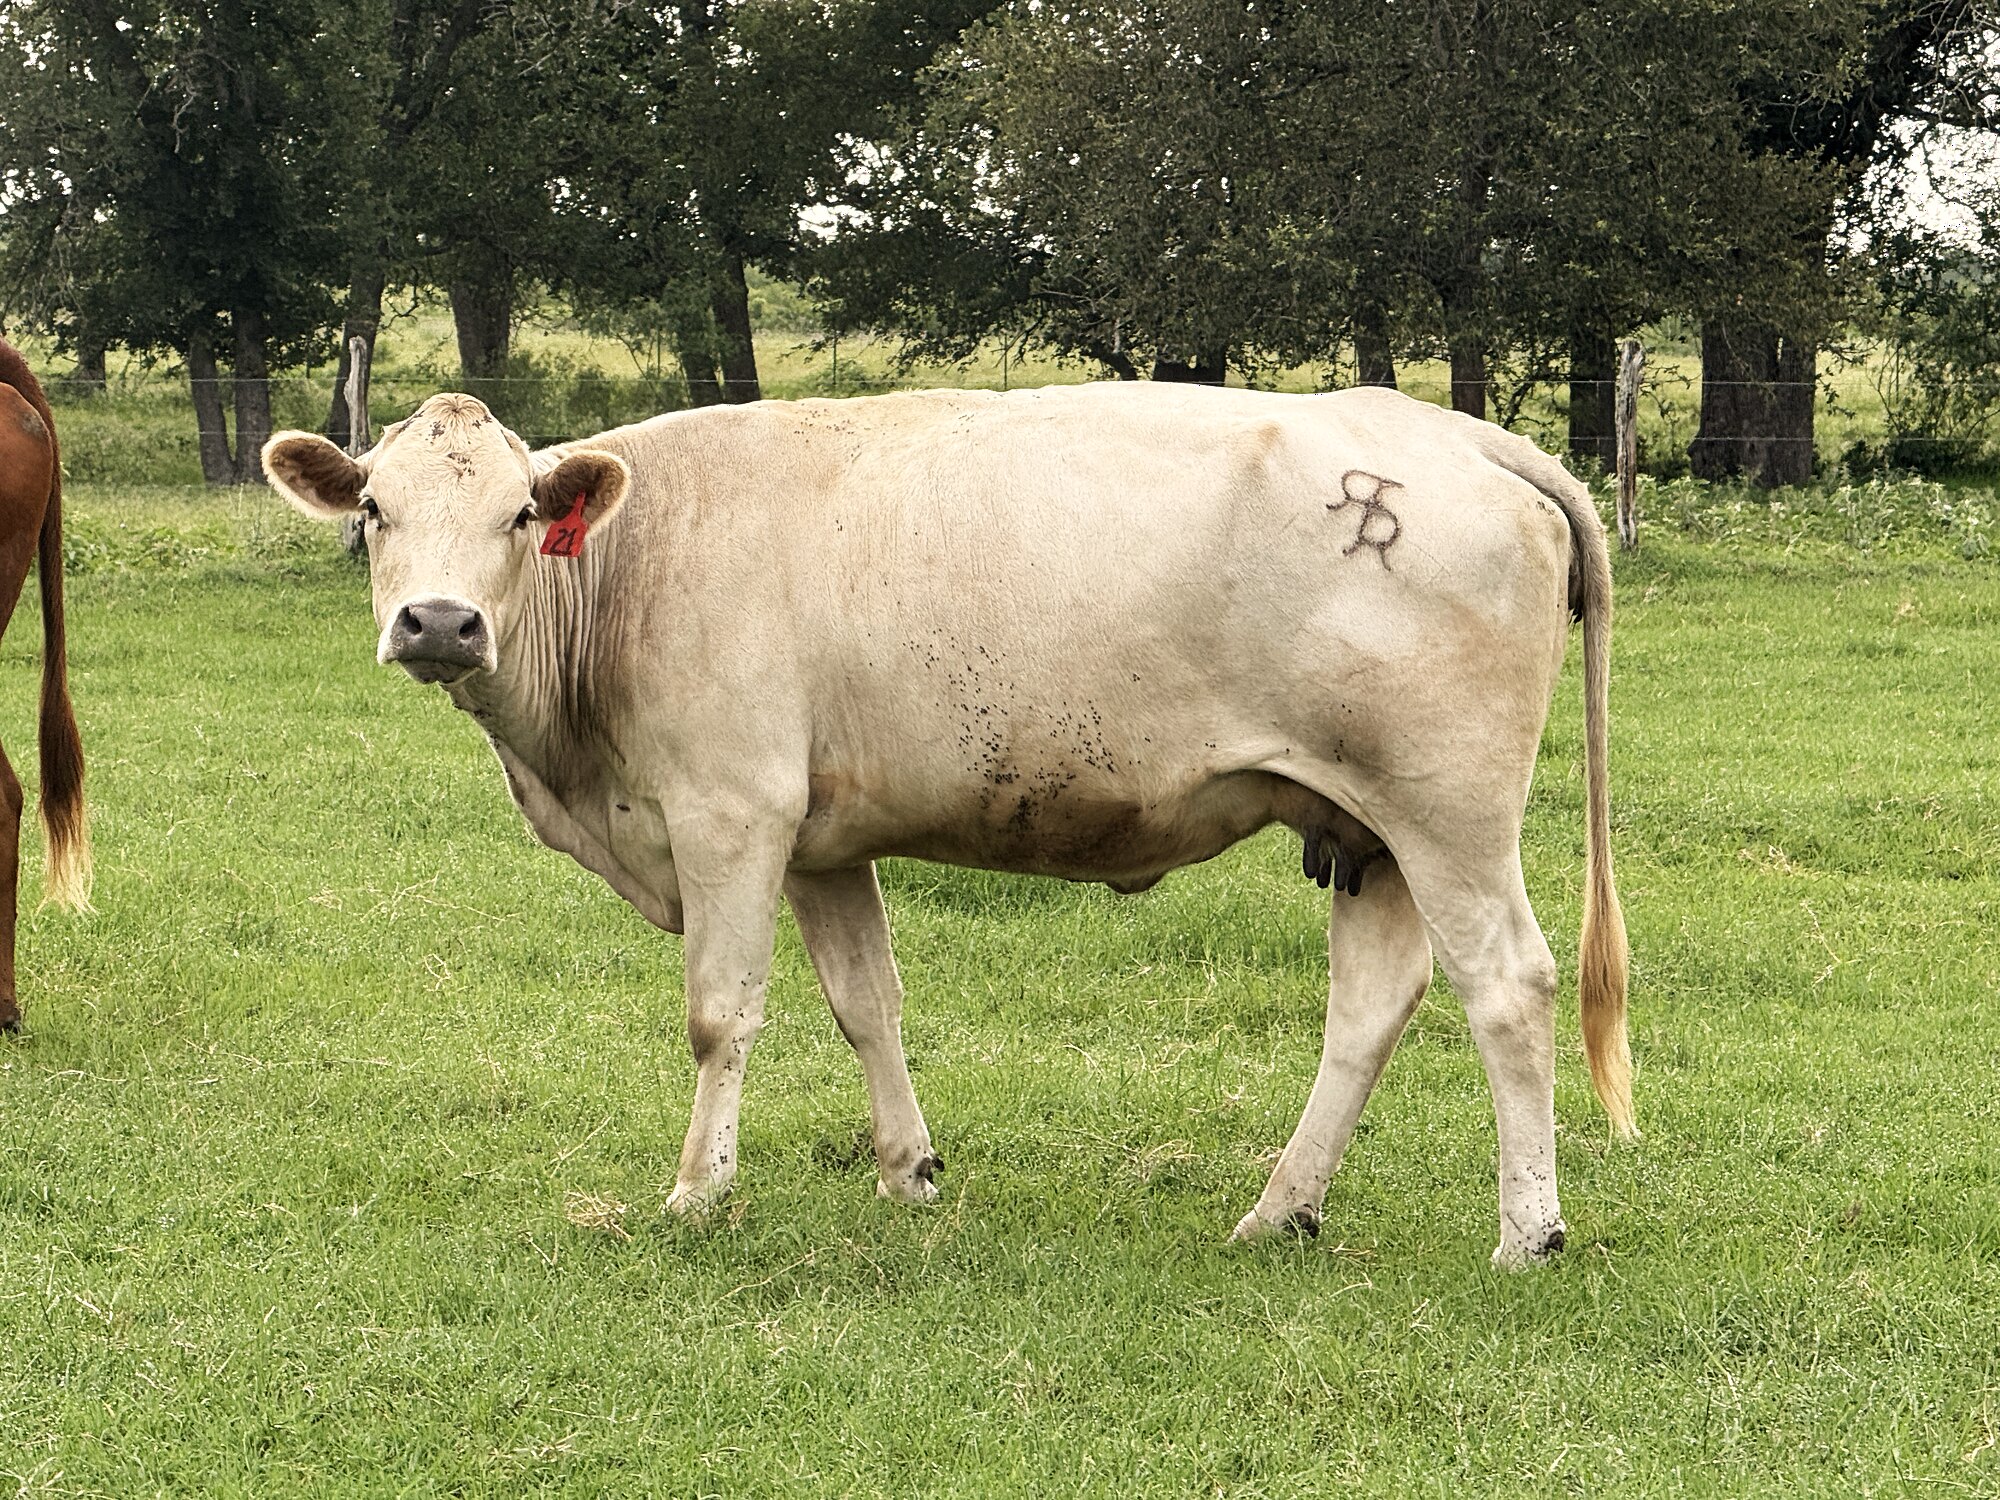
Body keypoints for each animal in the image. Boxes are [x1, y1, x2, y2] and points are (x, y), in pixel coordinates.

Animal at [264, 381, 1631, 1266]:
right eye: (373, 512)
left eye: (515, 516)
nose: (440, 623)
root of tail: (1457, 435)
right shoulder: (820, 839)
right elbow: (865, 1004)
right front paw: (906, 1174)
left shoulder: (731, 809)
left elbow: (720, 1014)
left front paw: (698, 1195)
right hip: (1365, 829)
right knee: (1371, 1004)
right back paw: (1276, 1213)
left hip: (1447, 811)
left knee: (1507, 987)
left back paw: (1527, 1232)